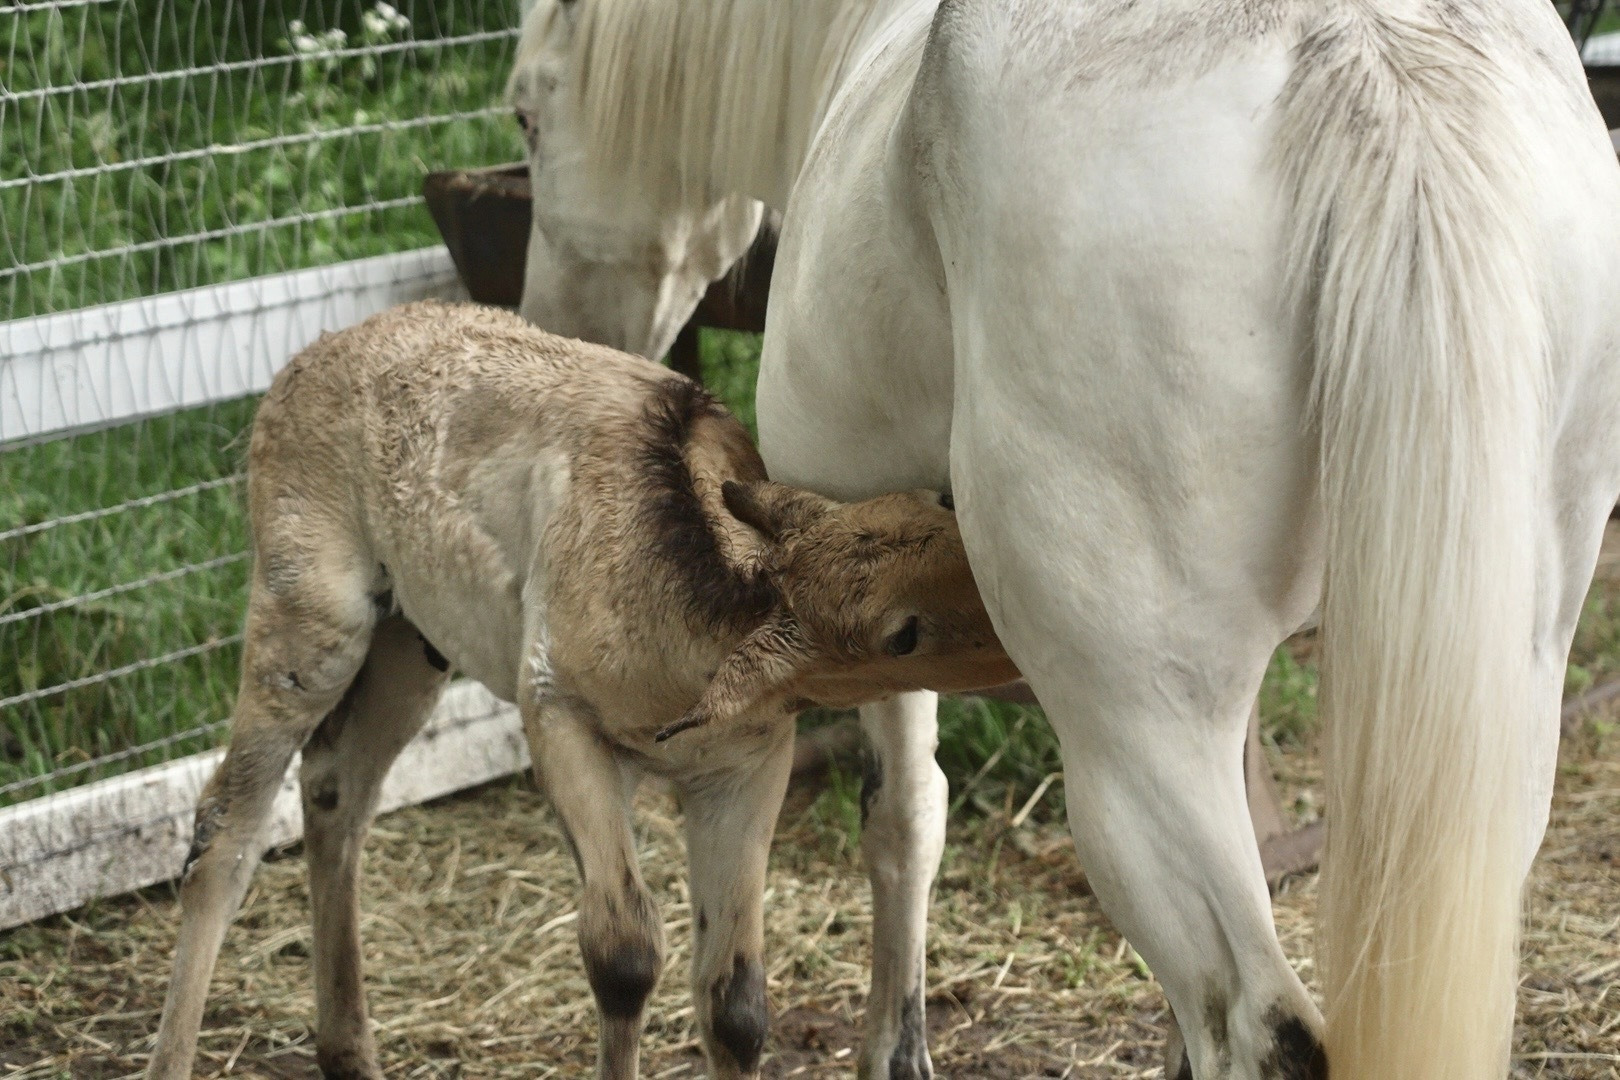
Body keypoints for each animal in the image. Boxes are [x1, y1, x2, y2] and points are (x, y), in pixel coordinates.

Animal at [506, 1, 1620, 1077]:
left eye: (526, 112)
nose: (546, 325)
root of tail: (1365, 60)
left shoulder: (869, 622)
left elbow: (905, 821)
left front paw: (895, 1052)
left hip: (1132, 738)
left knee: (1258, 1027)